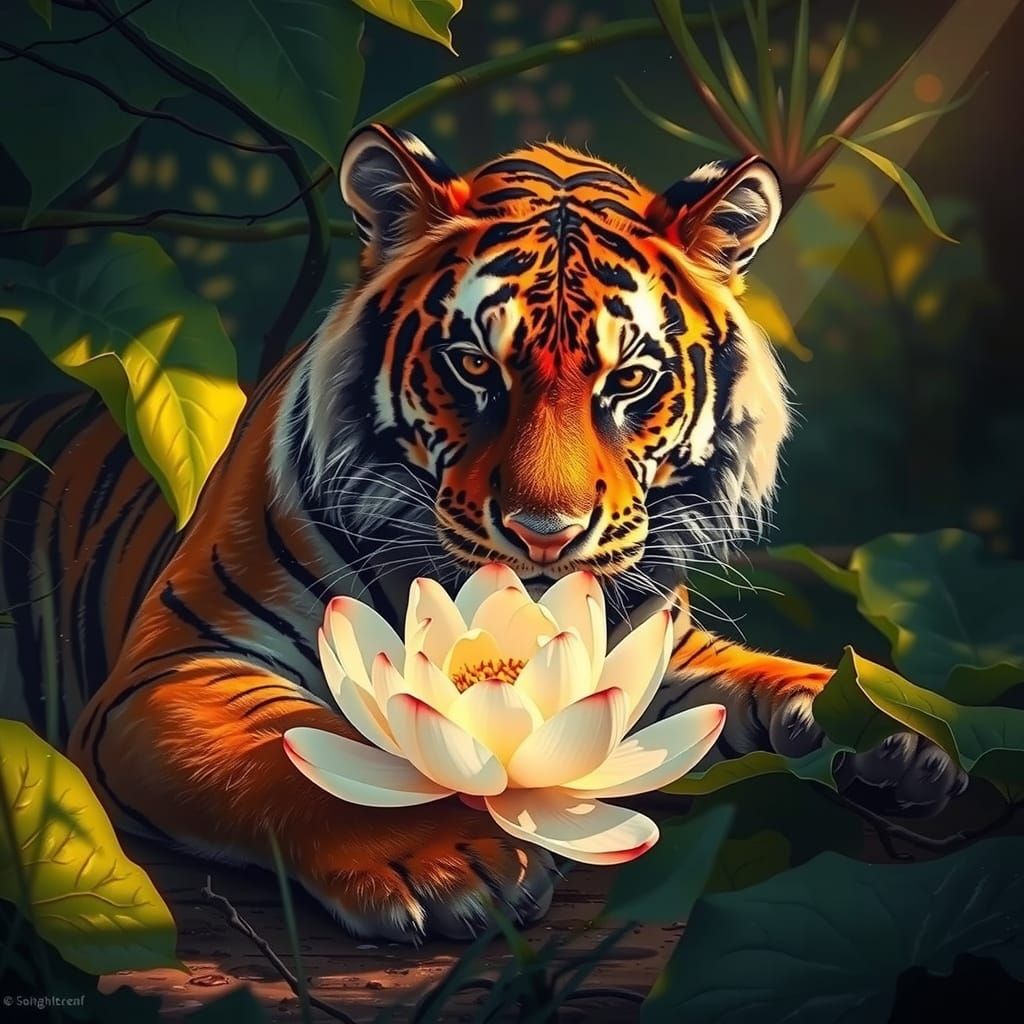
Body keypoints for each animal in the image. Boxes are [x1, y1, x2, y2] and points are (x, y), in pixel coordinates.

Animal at [0, 125, 968, 941]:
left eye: (631, 379)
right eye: (473, 367)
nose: (545, 535)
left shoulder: (652, 656)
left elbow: (762, 679)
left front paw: (901, 728)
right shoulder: (175, 664)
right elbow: (299, 752)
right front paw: (446, 863)